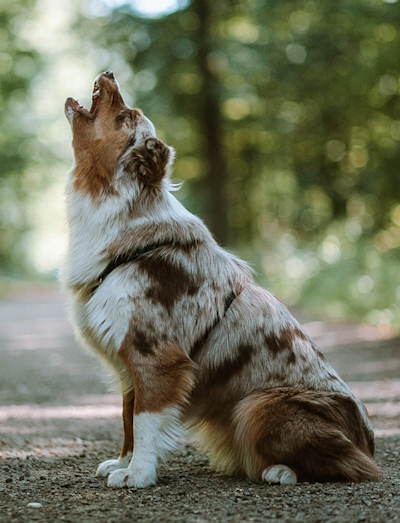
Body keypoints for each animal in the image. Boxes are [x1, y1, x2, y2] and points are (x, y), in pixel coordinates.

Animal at [62, 71, 382, 490]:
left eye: (124, 116)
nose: (109, 73)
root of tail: (367, 441)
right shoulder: (128, 358)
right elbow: (128, 415)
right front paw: (123, 462)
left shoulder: (156, 355)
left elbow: (144, 420)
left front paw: (139, 473)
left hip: (258, 403)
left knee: (351, 466)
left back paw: (280, 471)